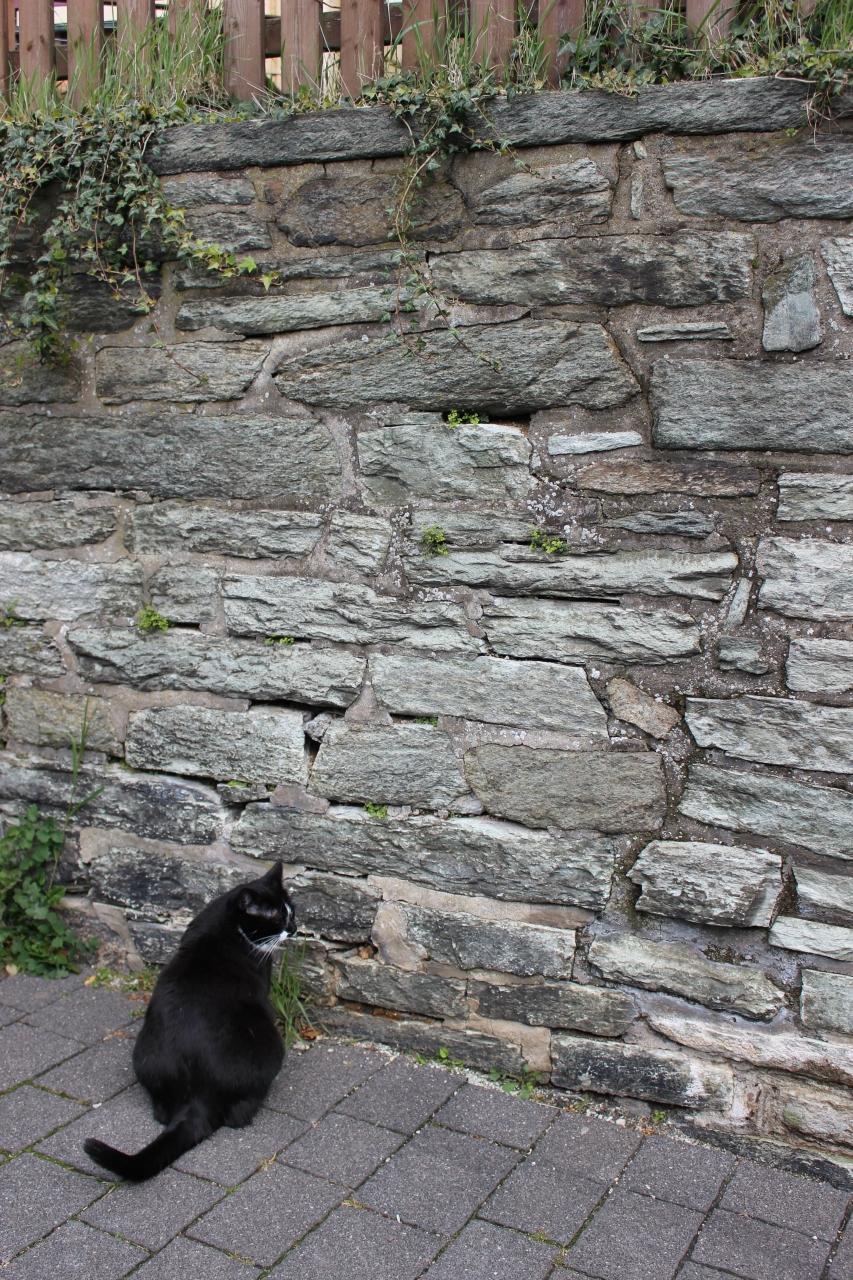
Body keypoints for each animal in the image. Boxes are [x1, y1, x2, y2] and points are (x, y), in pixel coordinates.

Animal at [84, 860, 296, 1182]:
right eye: (275, 917)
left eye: (291, 910)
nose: (294, 929)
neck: (227, 922)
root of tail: (198, 1095)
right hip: (269, 1047)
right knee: (238, 1116)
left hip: (145, 1055)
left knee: (161, 1112)